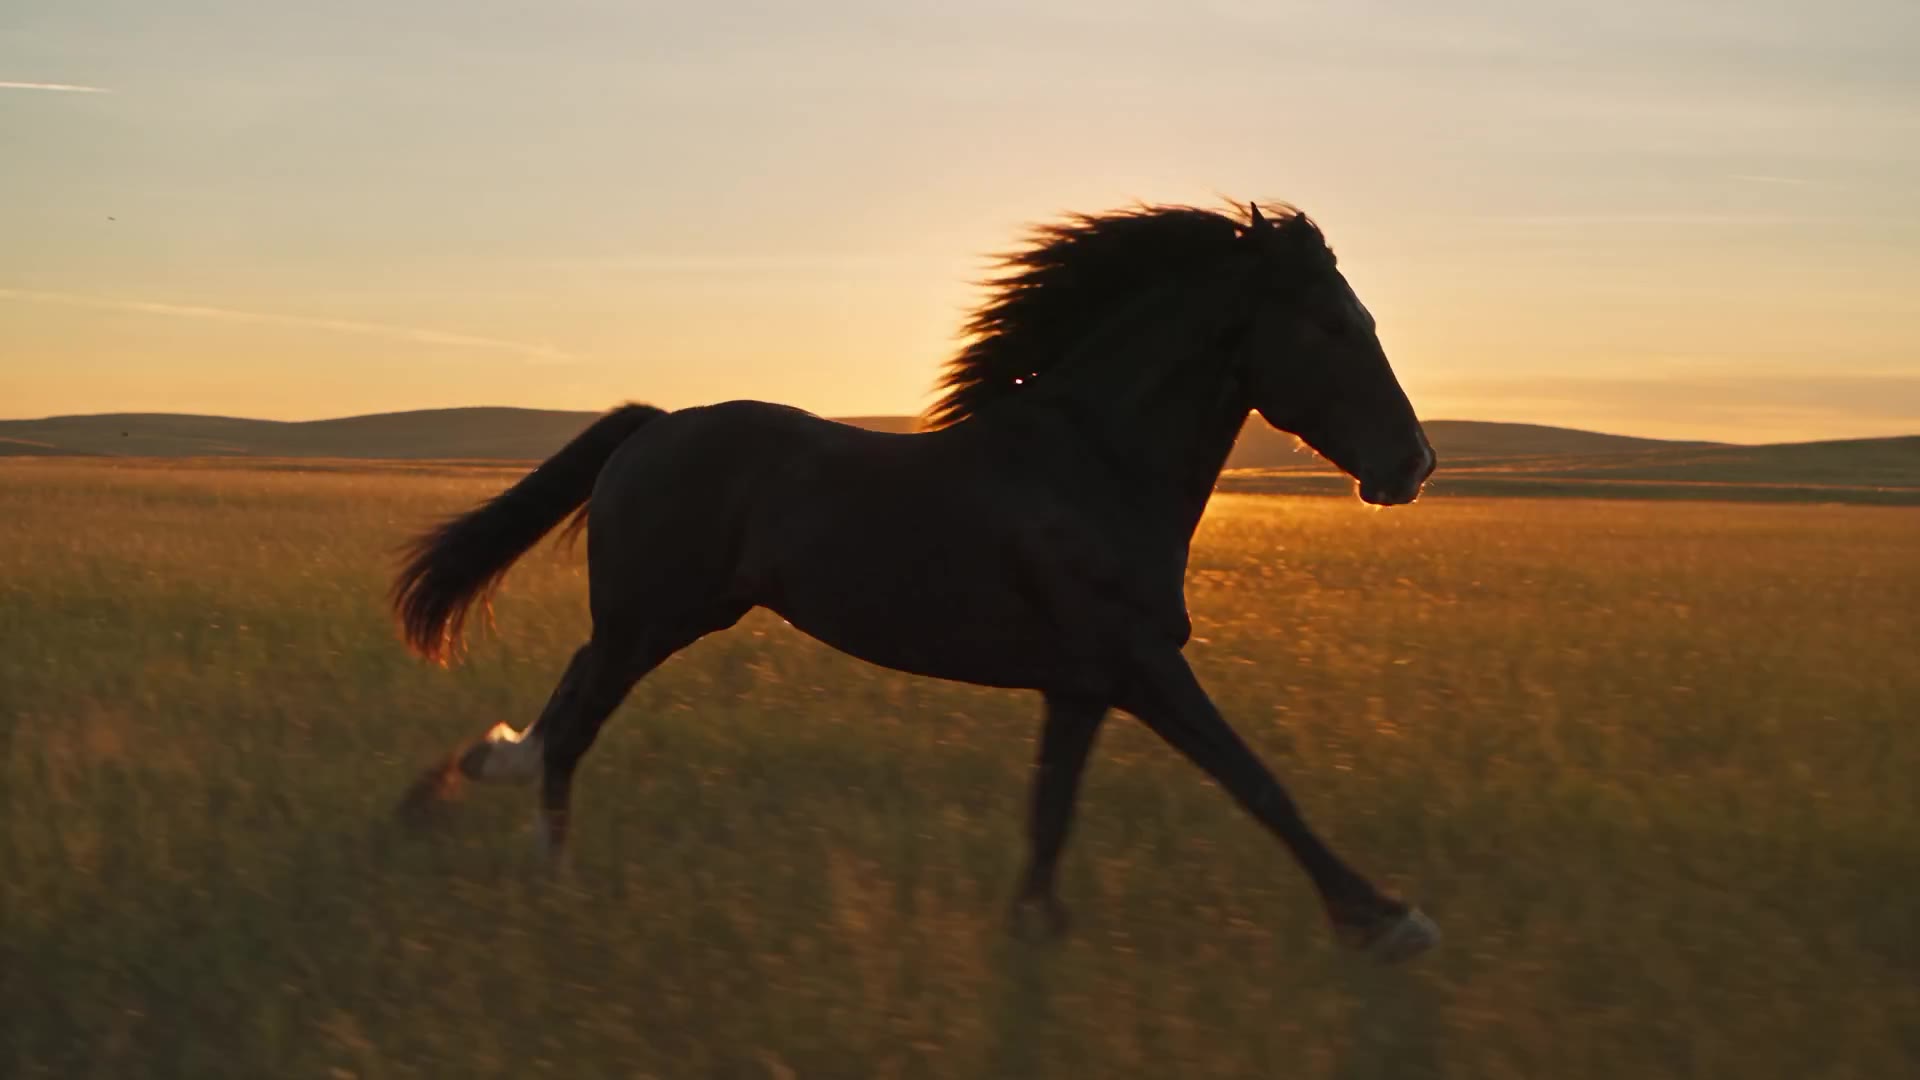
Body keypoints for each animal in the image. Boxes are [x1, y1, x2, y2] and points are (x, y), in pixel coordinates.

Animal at [391, 201, 1440, 961]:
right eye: (1333, 324)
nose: (1415, 465)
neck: (1093, 466)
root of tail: (651, 427)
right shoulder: (1141, 665)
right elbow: (1256, 781)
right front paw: (1390, 920)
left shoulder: (1082, 685)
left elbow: (1051, 815)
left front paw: (1034, 936)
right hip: (648, 621)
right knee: (573, 727)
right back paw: (551, 877)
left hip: (659, 619)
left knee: (565, 710)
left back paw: (485, 778)